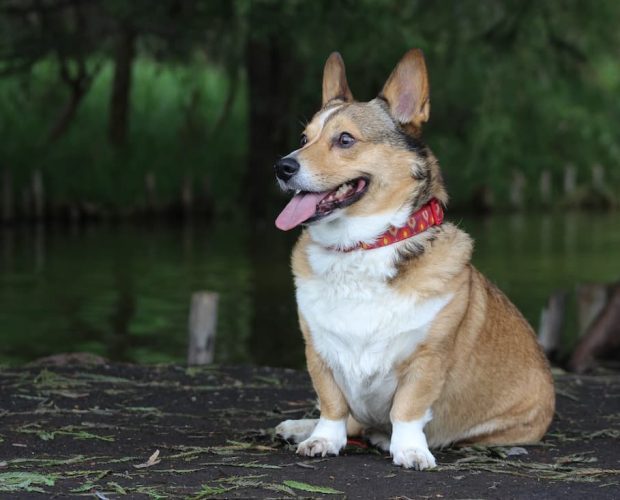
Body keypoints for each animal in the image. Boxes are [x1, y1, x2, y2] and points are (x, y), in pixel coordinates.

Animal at [274, 49, 556, 468]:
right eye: (304, 139)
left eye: (345, 139)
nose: (282, 166)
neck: (361, 247)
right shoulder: (319, 352)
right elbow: (332, 406)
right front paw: (322, 439)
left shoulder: (427, 359)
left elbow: (407, 409)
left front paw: (409, 450)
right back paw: (298, 428)